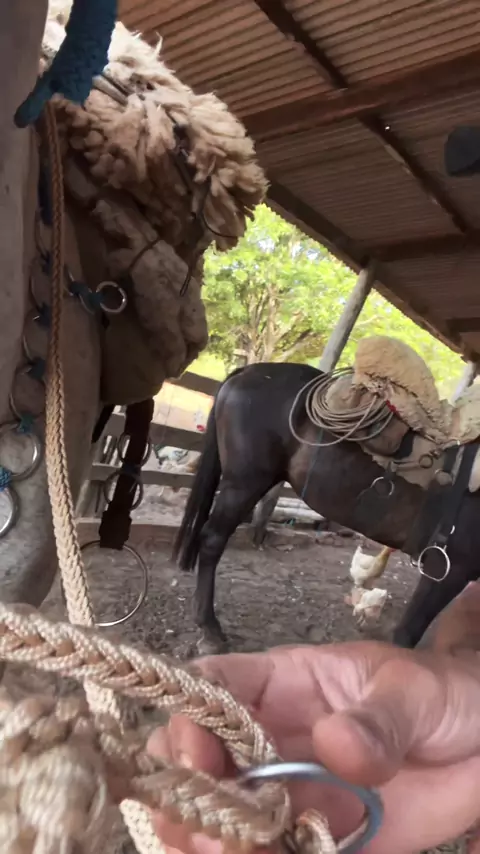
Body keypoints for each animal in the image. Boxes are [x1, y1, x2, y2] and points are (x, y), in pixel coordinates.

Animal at [173, 360, 480, 652]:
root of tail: (248, 371)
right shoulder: (447, 569)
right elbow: (407, 634)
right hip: (244, 483)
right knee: (212, 540)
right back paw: (210, 630)